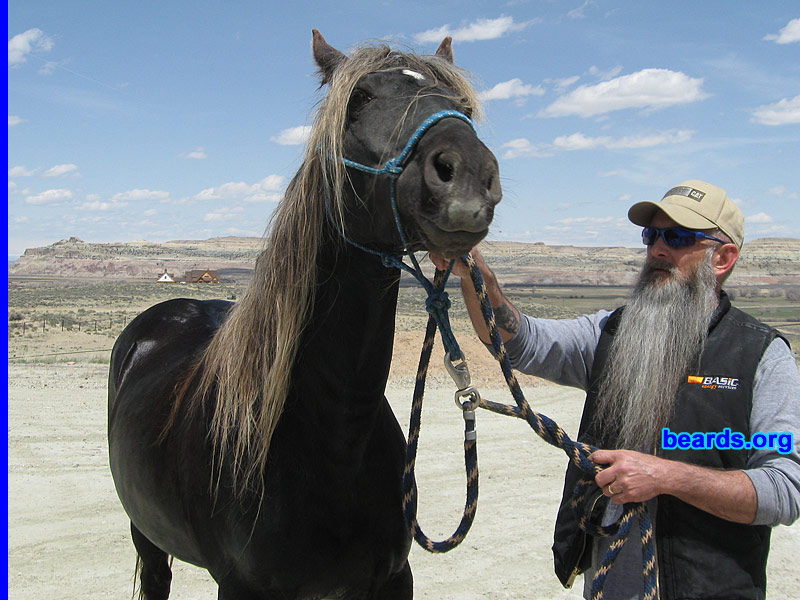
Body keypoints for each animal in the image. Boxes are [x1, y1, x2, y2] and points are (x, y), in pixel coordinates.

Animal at [108, 31, 500, 600]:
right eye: (359, 98)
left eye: (464, 107)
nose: (468, 176)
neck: (332, 439)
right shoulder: (243, 587)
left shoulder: (392, 578)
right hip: (147, 534)